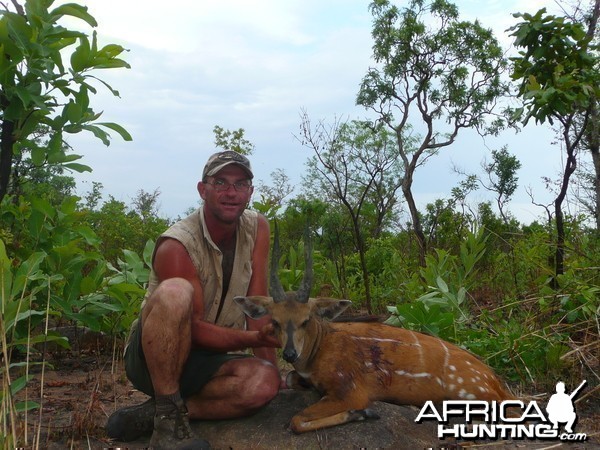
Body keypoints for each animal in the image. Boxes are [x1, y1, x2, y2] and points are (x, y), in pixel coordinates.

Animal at [233, 227, 510, 434]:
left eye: (306, 319)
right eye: (275, 321)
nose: (290, 354)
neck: (318, 349)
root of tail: (495, 381)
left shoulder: (350, 390)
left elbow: (296, 421)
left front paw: (364, 413)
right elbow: (290, 381)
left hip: (474, 396)